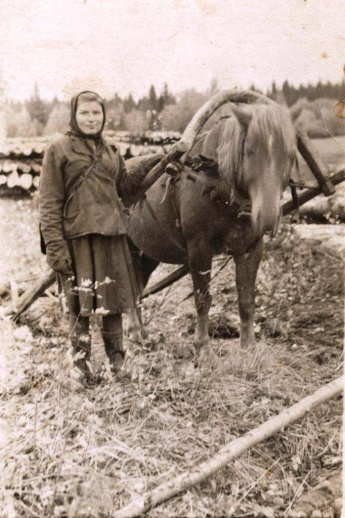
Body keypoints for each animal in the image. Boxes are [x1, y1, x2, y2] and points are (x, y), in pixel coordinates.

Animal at [125, 101, 296, 354]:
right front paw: (203, 348)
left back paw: (143, 335)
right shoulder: (199, 247)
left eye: (290, 155)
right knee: (127, 288)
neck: (216, 183)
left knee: (138, 286)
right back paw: (136, 333)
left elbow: (246, 299)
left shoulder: (251, 248)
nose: (267, 217)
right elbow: (203, 298)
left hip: (146, 253)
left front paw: (249, 349)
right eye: (250, 151)